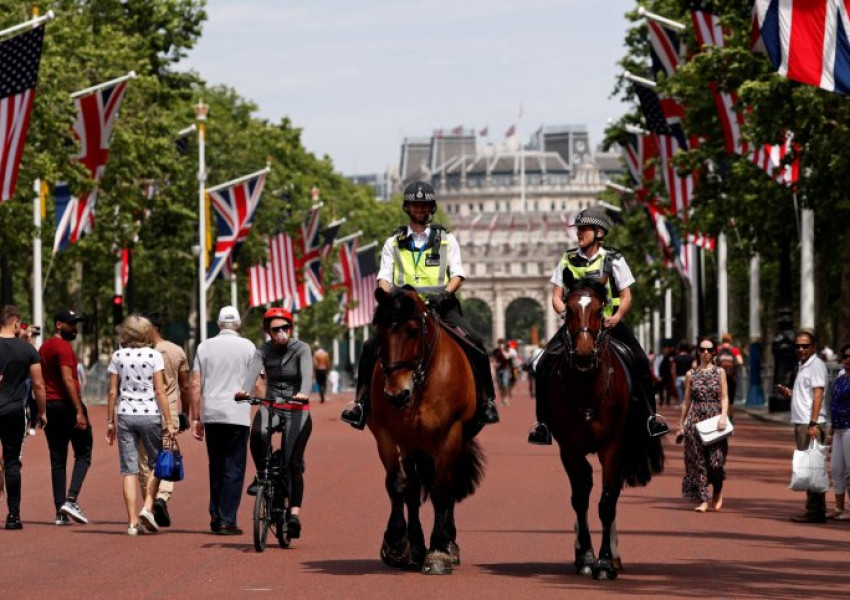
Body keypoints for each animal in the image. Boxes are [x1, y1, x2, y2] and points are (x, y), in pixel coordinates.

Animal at [364, 288, 484, 576]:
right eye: (379, 330)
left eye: (412, 331)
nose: (396, 394)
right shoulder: (389, 436)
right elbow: (399, 485)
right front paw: (397, 544)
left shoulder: (450, 435)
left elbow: (441, 489)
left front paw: (438, 551)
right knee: (413, 488)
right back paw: (416, 547)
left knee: (450, 485)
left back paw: (449, 545)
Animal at [540, 280, 664, 580]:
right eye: (569, 309)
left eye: (599, 309)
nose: (584, 355)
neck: (586, 387)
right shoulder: (569, 449)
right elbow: (580, 499)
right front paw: (586, 556)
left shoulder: (613, 447)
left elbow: (607, 501)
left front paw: (605, 562)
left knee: (614, 493)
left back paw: (615, 556)